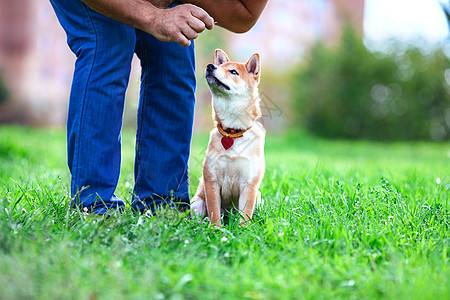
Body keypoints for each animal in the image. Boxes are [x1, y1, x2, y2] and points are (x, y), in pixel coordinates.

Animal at [191, 49, 268, 226]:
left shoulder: (249, 184)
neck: (233, 131)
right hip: (196, 203)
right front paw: (215, 229)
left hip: (259, 198)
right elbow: (214, 211)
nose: (210, 66)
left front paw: (244, 229)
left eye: (233, 72)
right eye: (219, 66)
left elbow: (246, 214)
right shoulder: (211, 181)